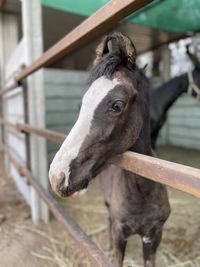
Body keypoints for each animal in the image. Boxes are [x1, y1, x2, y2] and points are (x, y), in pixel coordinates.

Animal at [48, 33, 170, 267]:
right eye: (81, 105)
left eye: (116, 105)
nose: (57, 176)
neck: (142, 193)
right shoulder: (120, 234)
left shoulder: (154, 236)